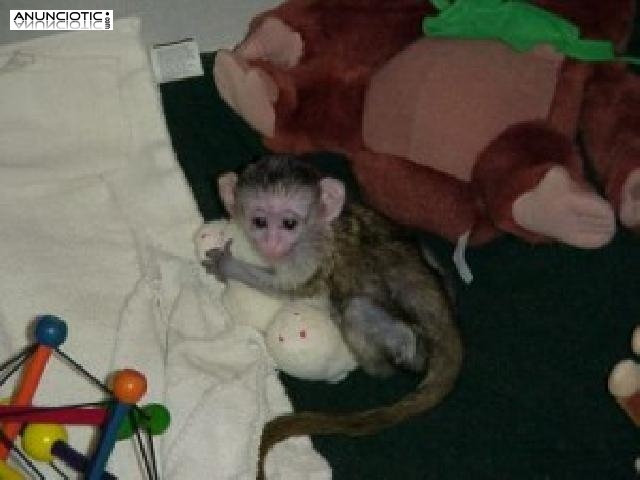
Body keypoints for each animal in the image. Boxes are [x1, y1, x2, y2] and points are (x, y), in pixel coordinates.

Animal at [202, 154, 463, 480]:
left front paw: (229, 267)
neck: (324, 225)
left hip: (411, 347)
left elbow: (289, 287)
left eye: (289, 224)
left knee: (355, 311)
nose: (272, 244)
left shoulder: (311, 255)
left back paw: (390, 355)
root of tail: (443, 318)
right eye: (259, 222)